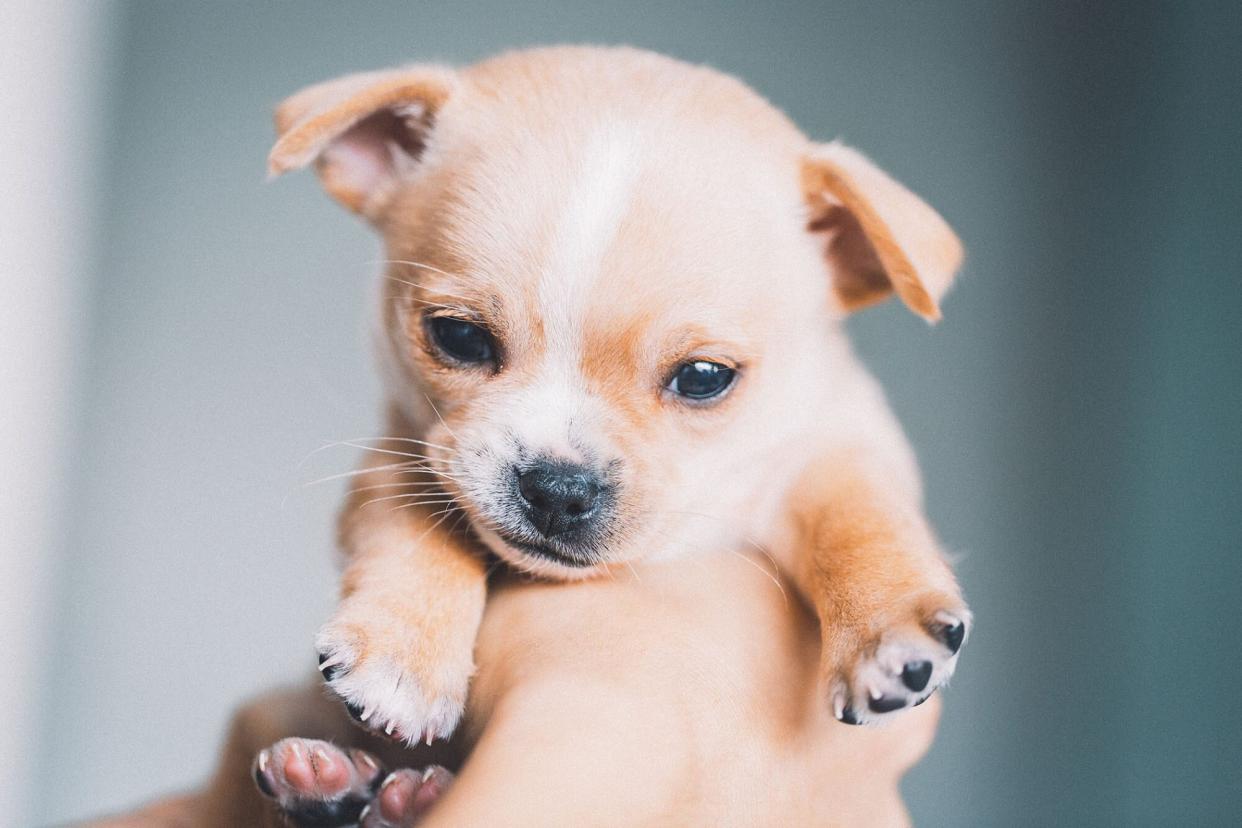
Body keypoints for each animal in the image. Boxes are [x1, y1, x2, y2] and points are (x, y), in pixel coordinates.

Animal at [271, 43, 968, 759]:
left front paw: (889, 628)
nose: (557, 487)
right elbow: (419, 526)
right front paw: (403, 652)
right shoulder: (403, 451)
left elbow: (857, 513)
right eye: (459, 336)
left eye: (704, 377)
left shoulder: (833, 443)